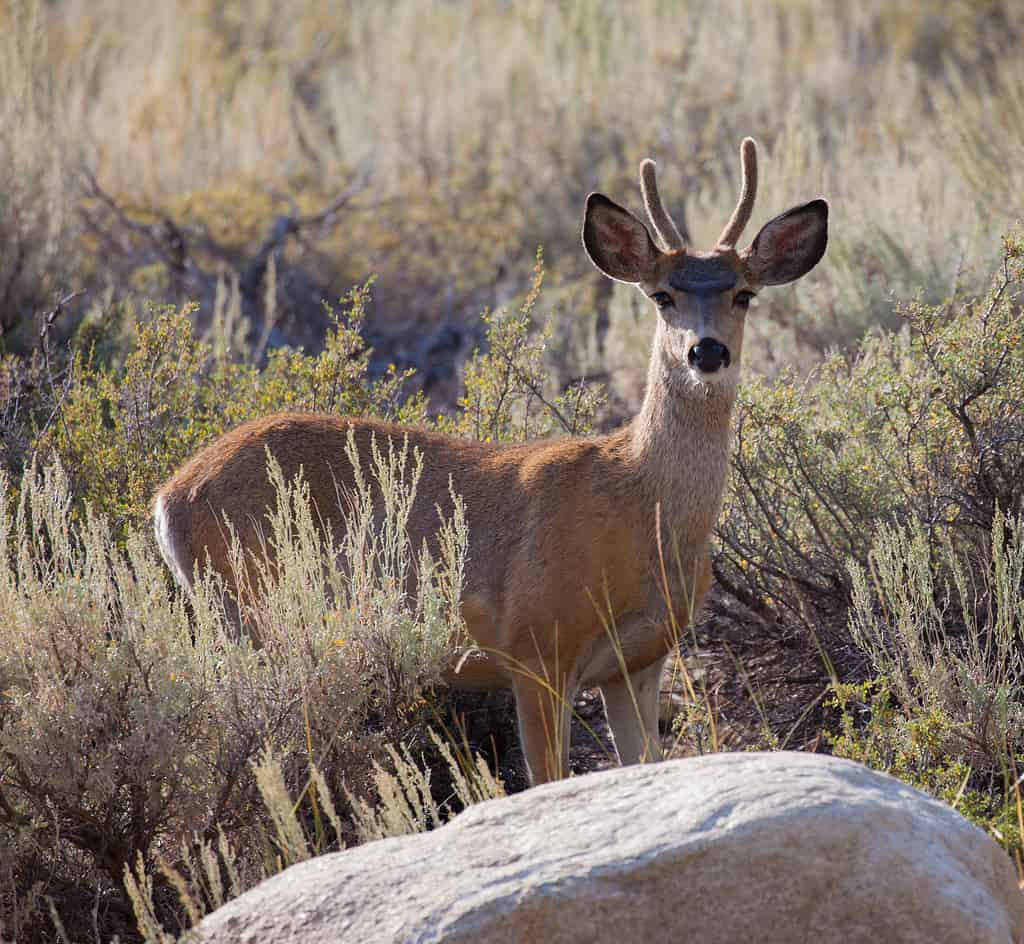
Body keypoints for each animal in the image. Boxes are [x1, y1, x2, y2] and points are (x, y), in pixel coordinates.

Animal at [151, 140, 827, 782]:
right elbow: (546, 780)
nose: (705, 352)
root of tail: (167, 497)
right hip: (251, 605)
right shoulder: (536, 646)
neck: (642, 511)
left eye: (744, 294)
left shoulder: (639, 660)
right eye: (662, 295)